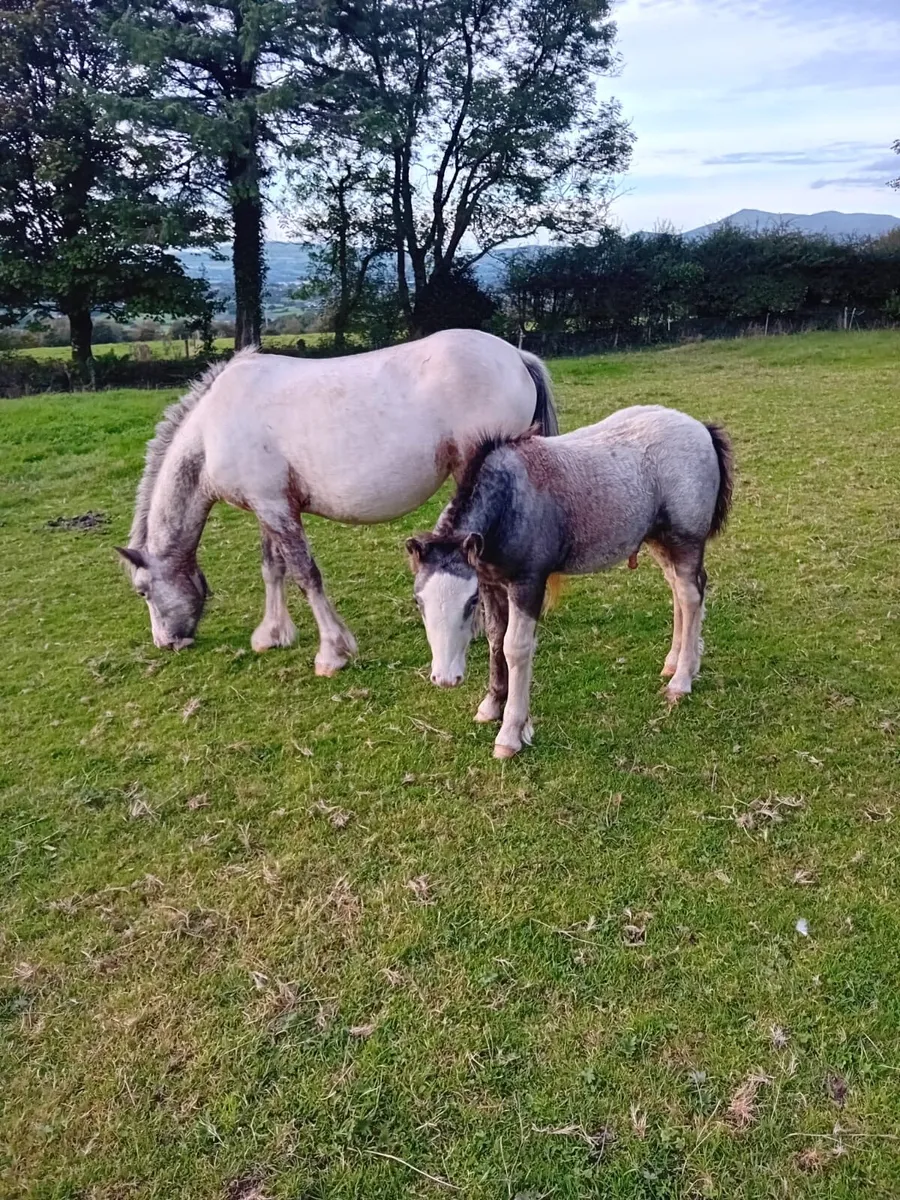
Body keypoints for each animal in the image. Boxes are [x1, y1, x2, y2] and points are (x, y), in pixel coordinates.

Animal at [117, 329, 558, 674]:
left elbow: (305, 574)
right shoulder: (268, 507)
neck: (211, 430)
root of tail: (516, 357)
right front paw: (272, 635)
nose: (167, 642)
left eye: (142, 591)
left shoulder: (276, 509)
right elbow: (272, 568)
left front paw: (332, 652)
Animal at [406, 405, 733, 758]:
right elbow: (495, 639)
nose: (445, 678)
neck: (511, 501)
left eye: (469, 603)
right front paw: (491, 706)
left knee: (690, 595)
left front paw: (510, 733)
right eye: (418, 601)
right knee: (678, 590)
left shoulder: (528, 584)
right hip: (659, 540)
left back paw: (681, 680)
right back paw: (674, 662)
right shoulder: (492, 584)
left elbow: (515, 648)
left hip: (685, 540)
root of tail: (701, 428)